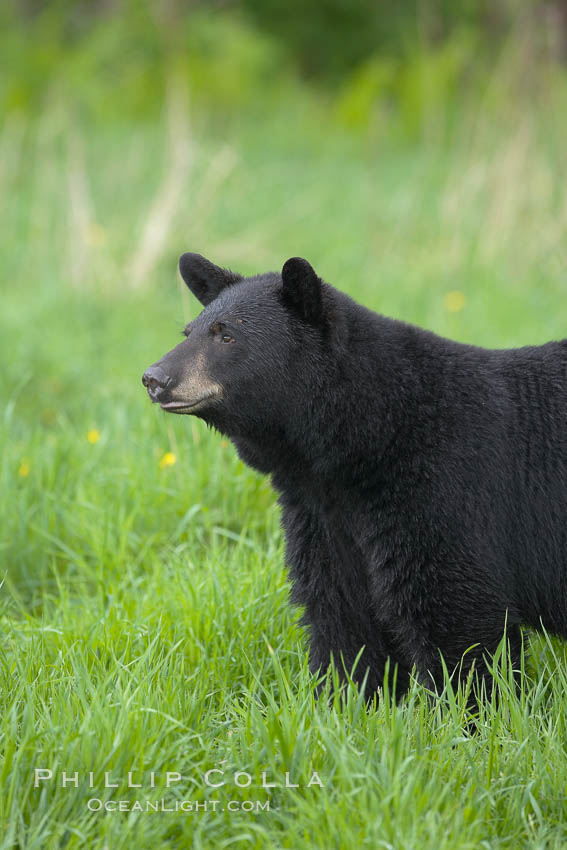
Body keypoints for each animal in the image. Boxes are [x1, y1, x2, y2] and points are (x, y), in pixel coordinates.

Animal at [143, 253, 567, 704]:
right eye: (189, 331)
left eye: (226, 335)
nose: (154, 378)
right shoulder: (325, 520)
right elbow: (343, 616)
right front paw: (344, 700)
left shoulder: (445, 493)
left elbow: (458, 621)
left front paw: (465, 712)